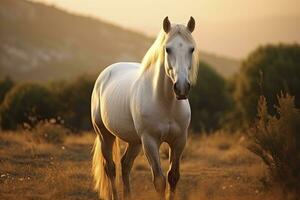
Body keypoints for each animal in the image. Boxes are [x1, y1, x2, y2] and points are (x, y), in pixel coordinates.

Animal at [91, 17, 199, 200]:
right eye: (167, 49)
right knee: (110, 168)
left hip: (135, 141)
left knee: (125, 164)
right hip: (105, 135)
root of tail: (105, 73)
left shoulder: (179, 141)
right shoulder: (150, 141)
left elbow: (173, 177)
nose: (181, 88)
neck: (166, 104)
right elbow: (159, 181)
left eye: (191, 49)